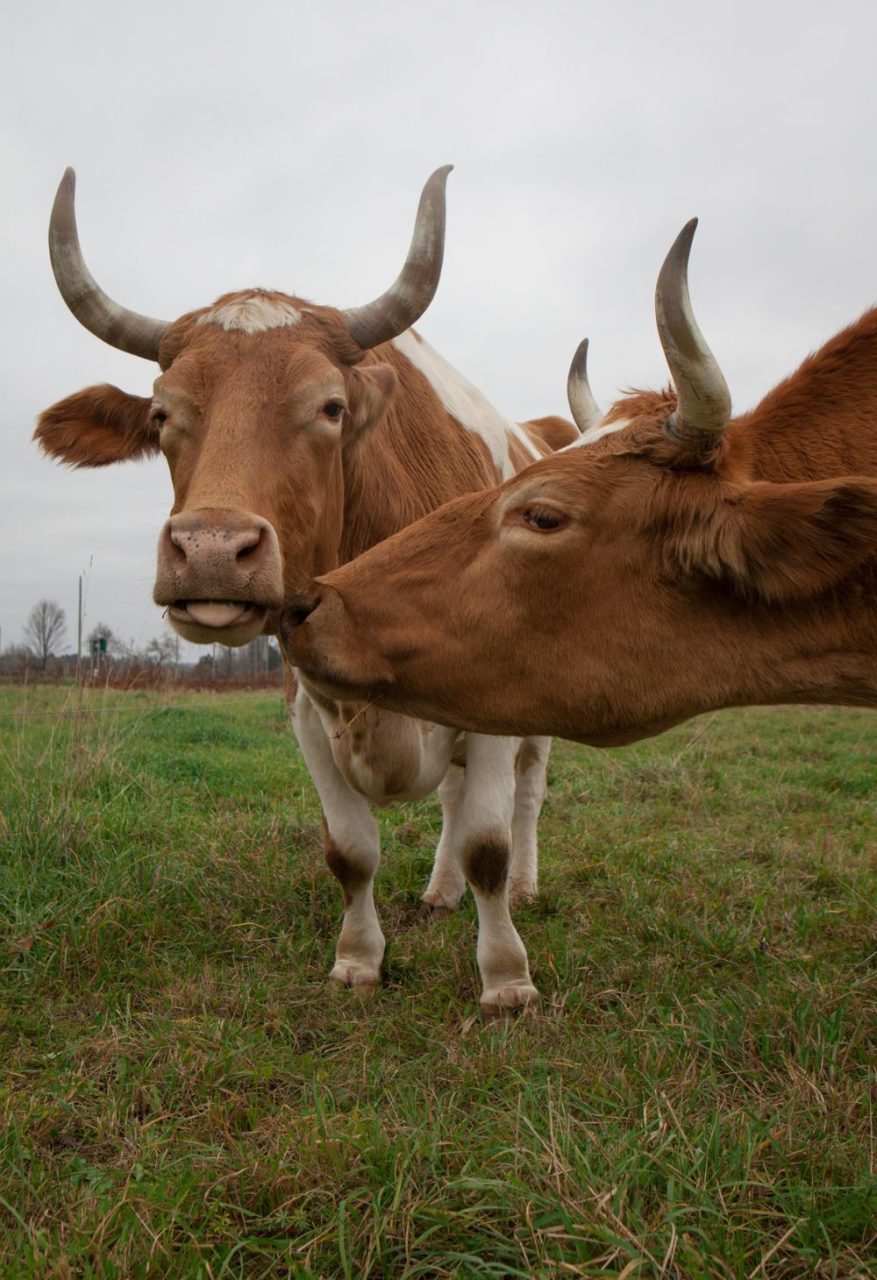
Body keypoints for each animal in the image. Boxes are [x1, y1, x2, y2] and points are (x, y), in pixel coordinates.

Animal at [35, 167, 581, 1008]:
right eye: (161, 414)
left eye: (329, 407)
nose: (212, 550)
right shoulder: (303, 704)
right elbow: (350, 850)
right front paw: (358, 959)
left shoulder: (492, 696)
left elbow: (487, 840)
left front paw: (505, 977)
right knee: (452, 800)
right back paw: (439, 890)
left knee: (523, 792)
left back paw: (520, 886)